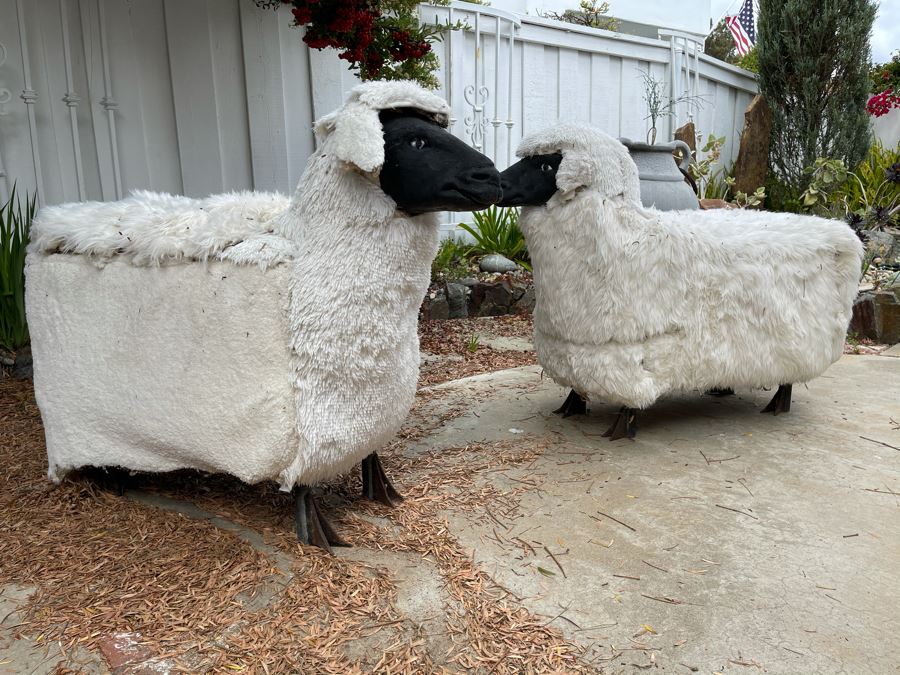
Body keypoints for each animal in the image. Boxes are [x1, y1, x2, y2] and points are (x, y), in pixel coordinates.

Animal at [26, 81, 502, 550]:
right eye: (416, 140)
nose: (492, 178)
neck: (307, 241)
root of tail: (57, 219)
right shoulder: (311, 427)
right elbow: (305, 489)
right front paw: (319, 535)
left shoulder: (369, 409)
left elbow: (371, 455)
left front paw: (383, 491)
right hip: (80, 412)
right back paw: (113, 476)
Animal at [498, 124, 864, 440]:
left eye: (546, 166)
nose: (499, 186)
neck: (621, 226)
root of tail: (841, 231)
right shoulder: (568, 342)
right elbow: (577, 382)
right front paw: (571, 404)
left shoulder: (626, 349)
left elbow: (630, 396)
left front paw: (621, 426)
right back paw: (723, 387)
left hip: (801, 341)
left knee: (789, 377)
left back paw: (777, 404)